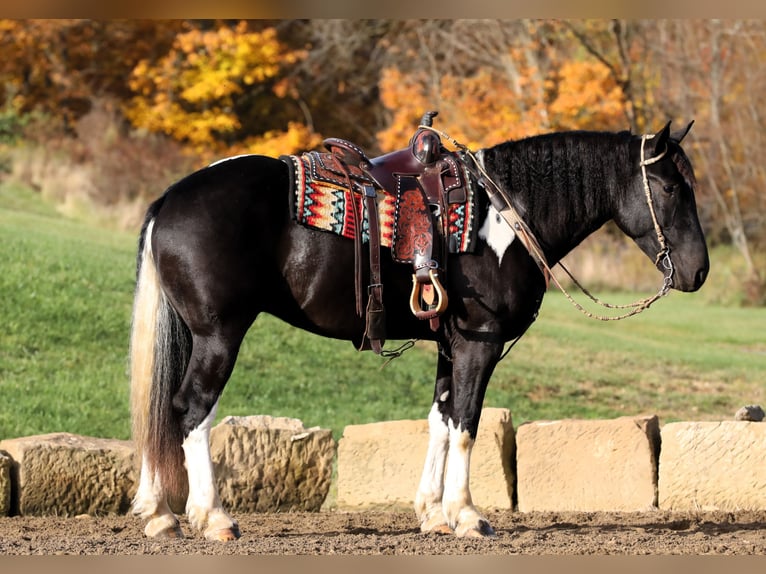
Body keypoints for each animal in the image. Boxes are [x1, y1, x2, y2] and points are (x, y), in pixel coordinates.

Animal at [129, 120, 712, 540]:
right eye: (668, 186)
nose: (699, 271)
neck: (502, 217)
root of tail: (170, 199)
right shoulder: (479, 342)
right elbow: (468, 424)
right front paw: (467, 515)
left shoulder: (450, 347)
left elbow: (441, 421)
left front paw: (432, 513)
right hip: (219, 336)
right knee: (192, 409)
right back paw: (212, 518)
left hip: (196, 335)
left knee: (164, 408)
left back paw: (160, 514)